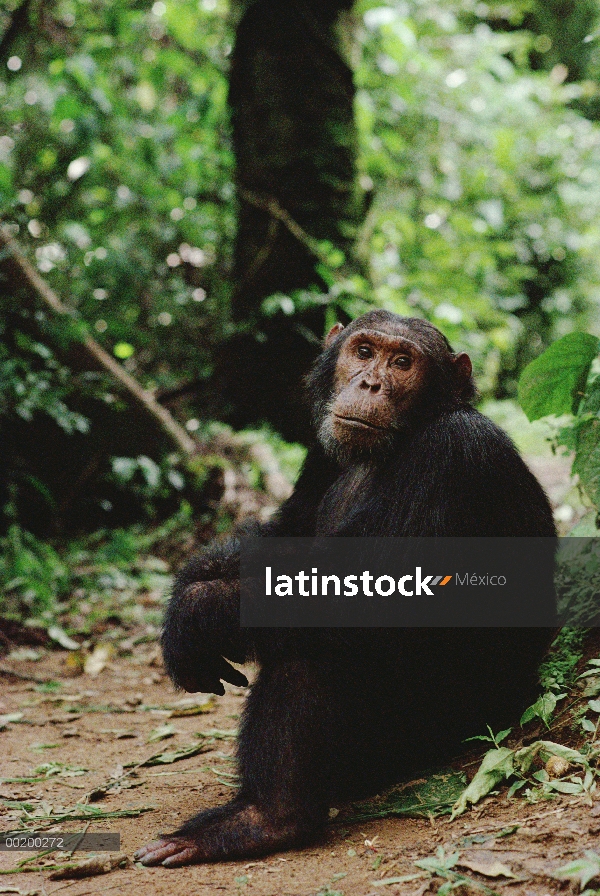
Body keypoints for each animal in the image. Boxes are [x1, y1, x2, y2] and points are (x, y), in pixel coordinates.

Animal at [135, 312, 552, 864]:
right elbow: (288, 531)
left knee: (316, 650)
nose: (370, 383)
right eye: (364, 351)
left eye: (403, 362)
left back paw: (265, 820)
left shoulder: (454, 453)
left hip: (434, 731)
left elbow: (368, 594)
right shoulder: (321, 452)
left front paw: (197, 614)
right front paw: (184, 602)